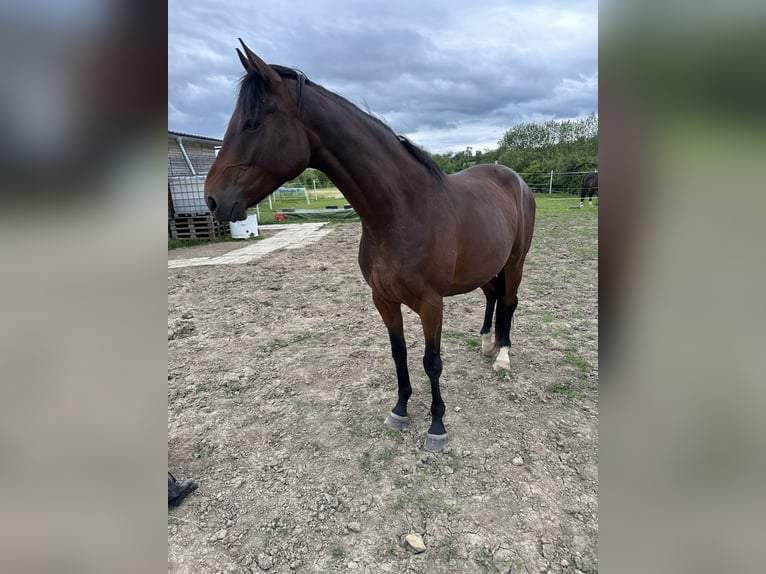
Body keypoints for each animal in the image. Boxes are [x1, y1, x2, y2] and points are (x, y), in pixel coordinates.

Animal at [207, 41, 536, 454]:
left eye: (251, 123)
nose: (212, 200)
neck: (401, 211)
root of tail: (514, 178)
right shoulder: (383, 299)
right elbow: (399, 353)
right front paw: (399, 409)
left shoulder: (432, 304)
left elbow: (432, 362)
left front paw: (437, 426)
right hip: (484, 266)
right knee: (493, 294)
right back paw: (487, 344)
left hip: (515, 262)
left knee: (509, 300)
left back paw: (503, 355)